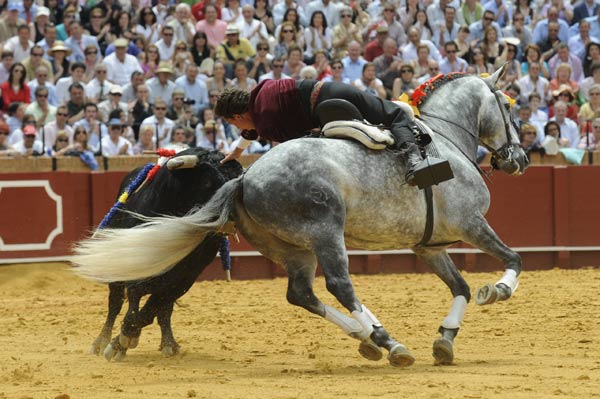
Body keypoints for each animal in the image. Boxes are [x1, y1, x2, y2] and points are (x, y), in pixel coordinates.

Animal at [88, 148, 243, 360]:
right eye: (208, 182)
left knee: (162, 309)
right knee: (115, 303)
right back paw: (100, 342)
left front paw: (125, 338)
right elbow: (134, 298)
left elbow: (153, 308)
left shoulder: (185, 277)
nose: (232, 221)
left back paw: (168, 343)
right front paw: (119, 342)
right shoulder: (135, 264)